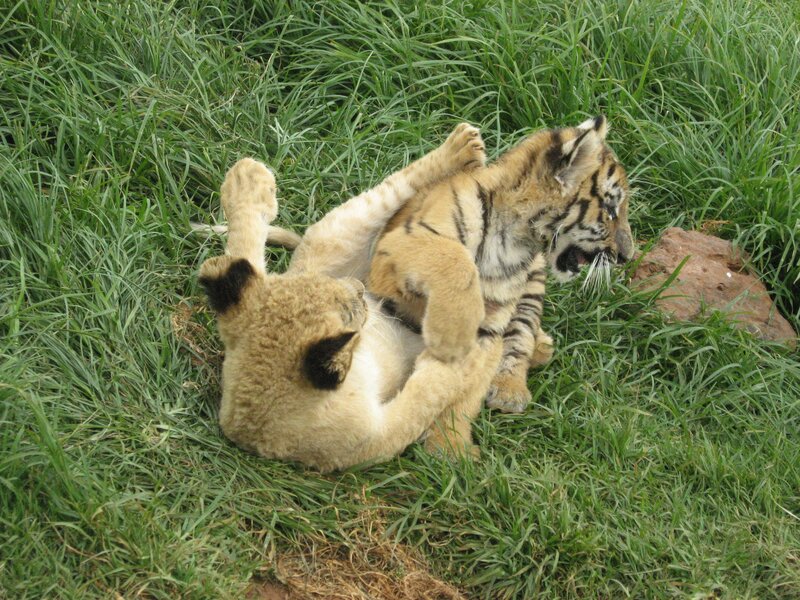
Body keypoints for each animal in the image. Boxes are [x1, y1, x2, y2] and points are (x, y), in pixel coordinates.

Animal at [197, 123, 503, 472]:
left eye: (327, 288)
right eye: (350, 313)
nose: (359, 290)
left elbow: (243, 249)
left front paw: (248, 187)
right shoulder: (370, 441)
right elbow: (423, 398)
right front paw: (458, 357)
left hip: (330, 239)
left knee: (386, 191)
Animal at [368, 115, 634, 453]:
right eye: (611, 210)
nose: (628, 256)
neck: (514, 239)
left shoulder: (491, 325)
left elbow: (466, 392)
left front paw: (450, 449)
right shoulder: (394, 249)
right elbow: (454, 255)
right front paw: (451, 335)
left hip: (533, 284)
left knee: (523, 331)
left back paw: (515, 382)